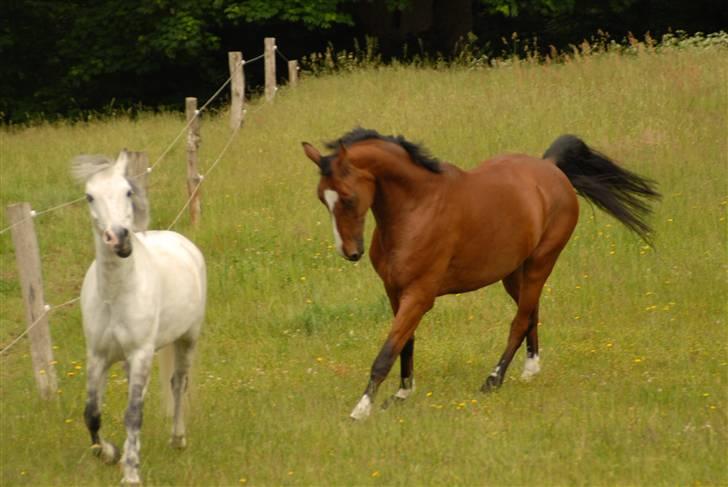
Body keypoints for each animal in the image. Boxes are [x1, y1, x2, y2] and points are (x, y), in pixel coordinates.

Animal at [72, 151, 205, 486]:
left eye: (127, 192)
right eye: (89, 196)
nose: (119, 240)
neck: (115, 295)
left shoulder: (141, 352)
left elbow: (133, 414)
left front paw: (131, 472)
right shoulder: (97, 356)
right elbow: (92, 412)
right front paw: (110, 453)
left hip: (187, 339)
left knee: (178, 383)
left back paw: (177, 439)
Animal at [302, 127, 660, 422]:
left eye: (348, 197)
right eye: (322, 198)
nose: (350, 252)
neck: (416, 208)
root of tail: (551, 168)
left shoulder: (419, 295)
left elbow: (387, 351)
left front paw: (360, 410)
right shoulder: (395, 292)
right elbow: (405, 343)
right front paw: (402, 394)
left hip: (540, 263)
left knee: (519, 320)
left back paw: (493, 380)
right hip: (513, 273)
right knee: (531, 313)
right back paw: (530, 370)